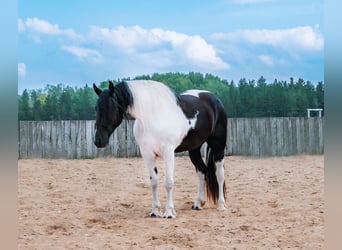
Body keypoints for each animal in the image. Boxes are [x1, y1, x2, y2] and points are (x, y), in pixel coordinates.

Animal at [93, 80, 227, 219]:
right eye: (96, 109)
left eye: (110, 107)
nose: (98, 140)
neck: (152, 117)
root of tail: (214, 99)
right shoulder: (147, 154)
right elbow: (154, 182)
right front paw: (155, 211)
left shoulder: (168, 153)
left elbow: (168, 182)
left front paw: (169, 212)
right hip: (194, 148)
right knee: (202, 170)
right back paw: (198, 203)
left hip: (218, 146)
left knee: (219, 174)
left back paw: (221, 205)